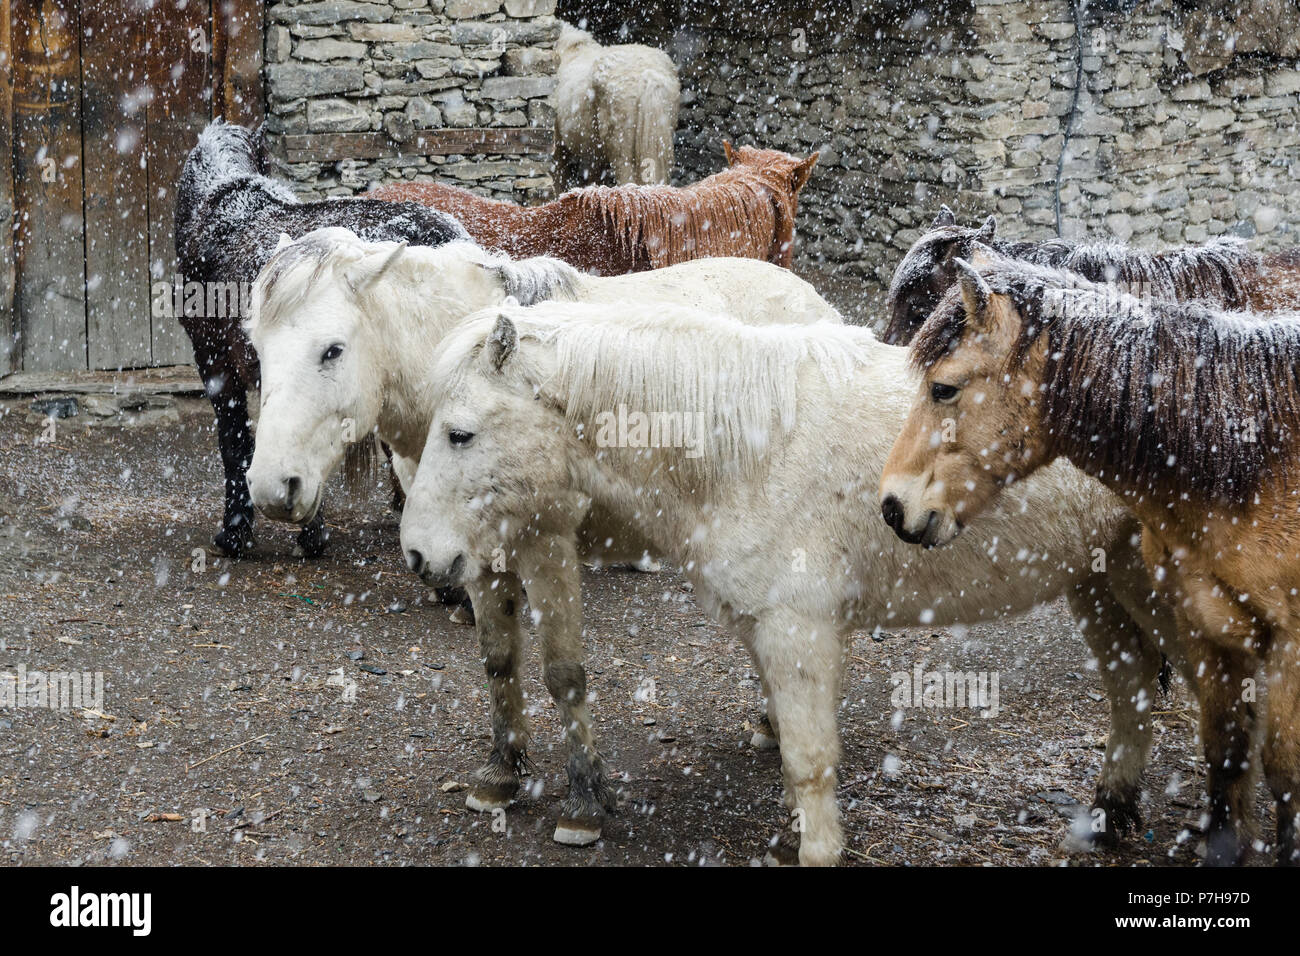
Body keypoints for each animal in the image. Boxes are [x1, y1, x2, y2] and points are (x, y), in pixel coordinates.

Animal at [400, 300, 1185, 868]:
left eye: (461, 434)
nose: (418, 553)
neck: (751, 450)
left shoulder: (797, 630)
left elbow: (809, 758)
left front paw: (817, 847)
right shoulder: (766, 631)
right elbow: (786, 747)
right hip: (1099, 580)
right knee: (1132, 685)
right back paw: (1111, 813)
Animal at [878, 256, 1300, 868]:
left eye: (943, 388)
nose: (892, 505)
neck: (1251, 456)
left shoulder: (1289, 645)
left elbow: (1284, 771)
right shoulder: (1204, 626)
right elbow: (1226, 748)